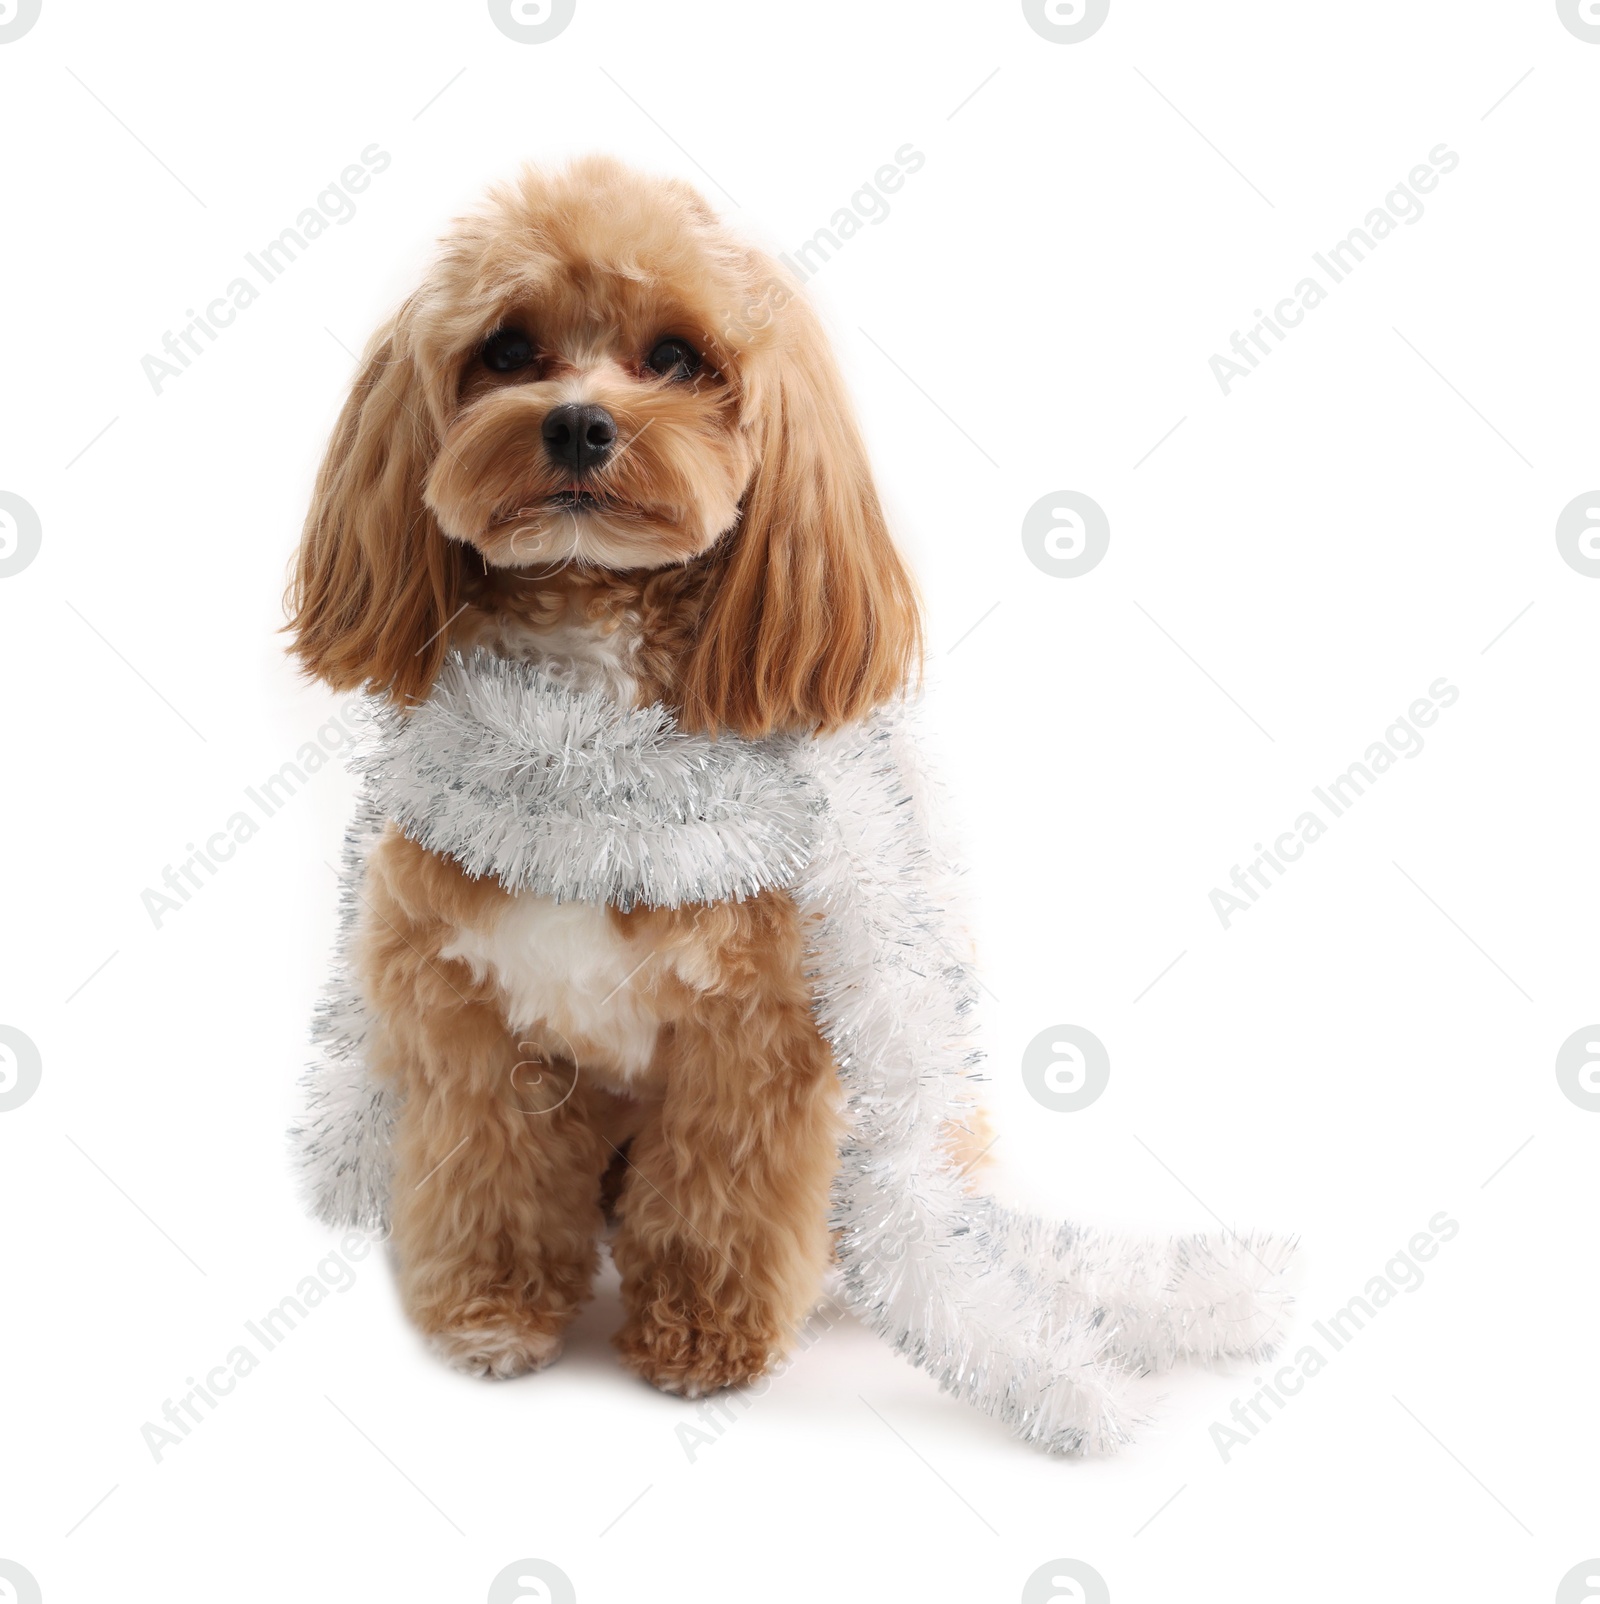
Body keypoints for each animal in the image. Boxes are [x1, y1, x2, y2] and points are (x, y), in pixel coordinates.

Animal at [282, 156, 923, 1398]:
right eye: (506, 349)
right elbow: (486, 1176)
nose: (577, 421)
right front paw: (490, 1308)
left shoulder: (753, 1038)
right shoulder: (469, 1021)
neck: (586, 754)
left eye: (675, 356)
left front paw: (703, 1334)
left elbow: (720, 1198)